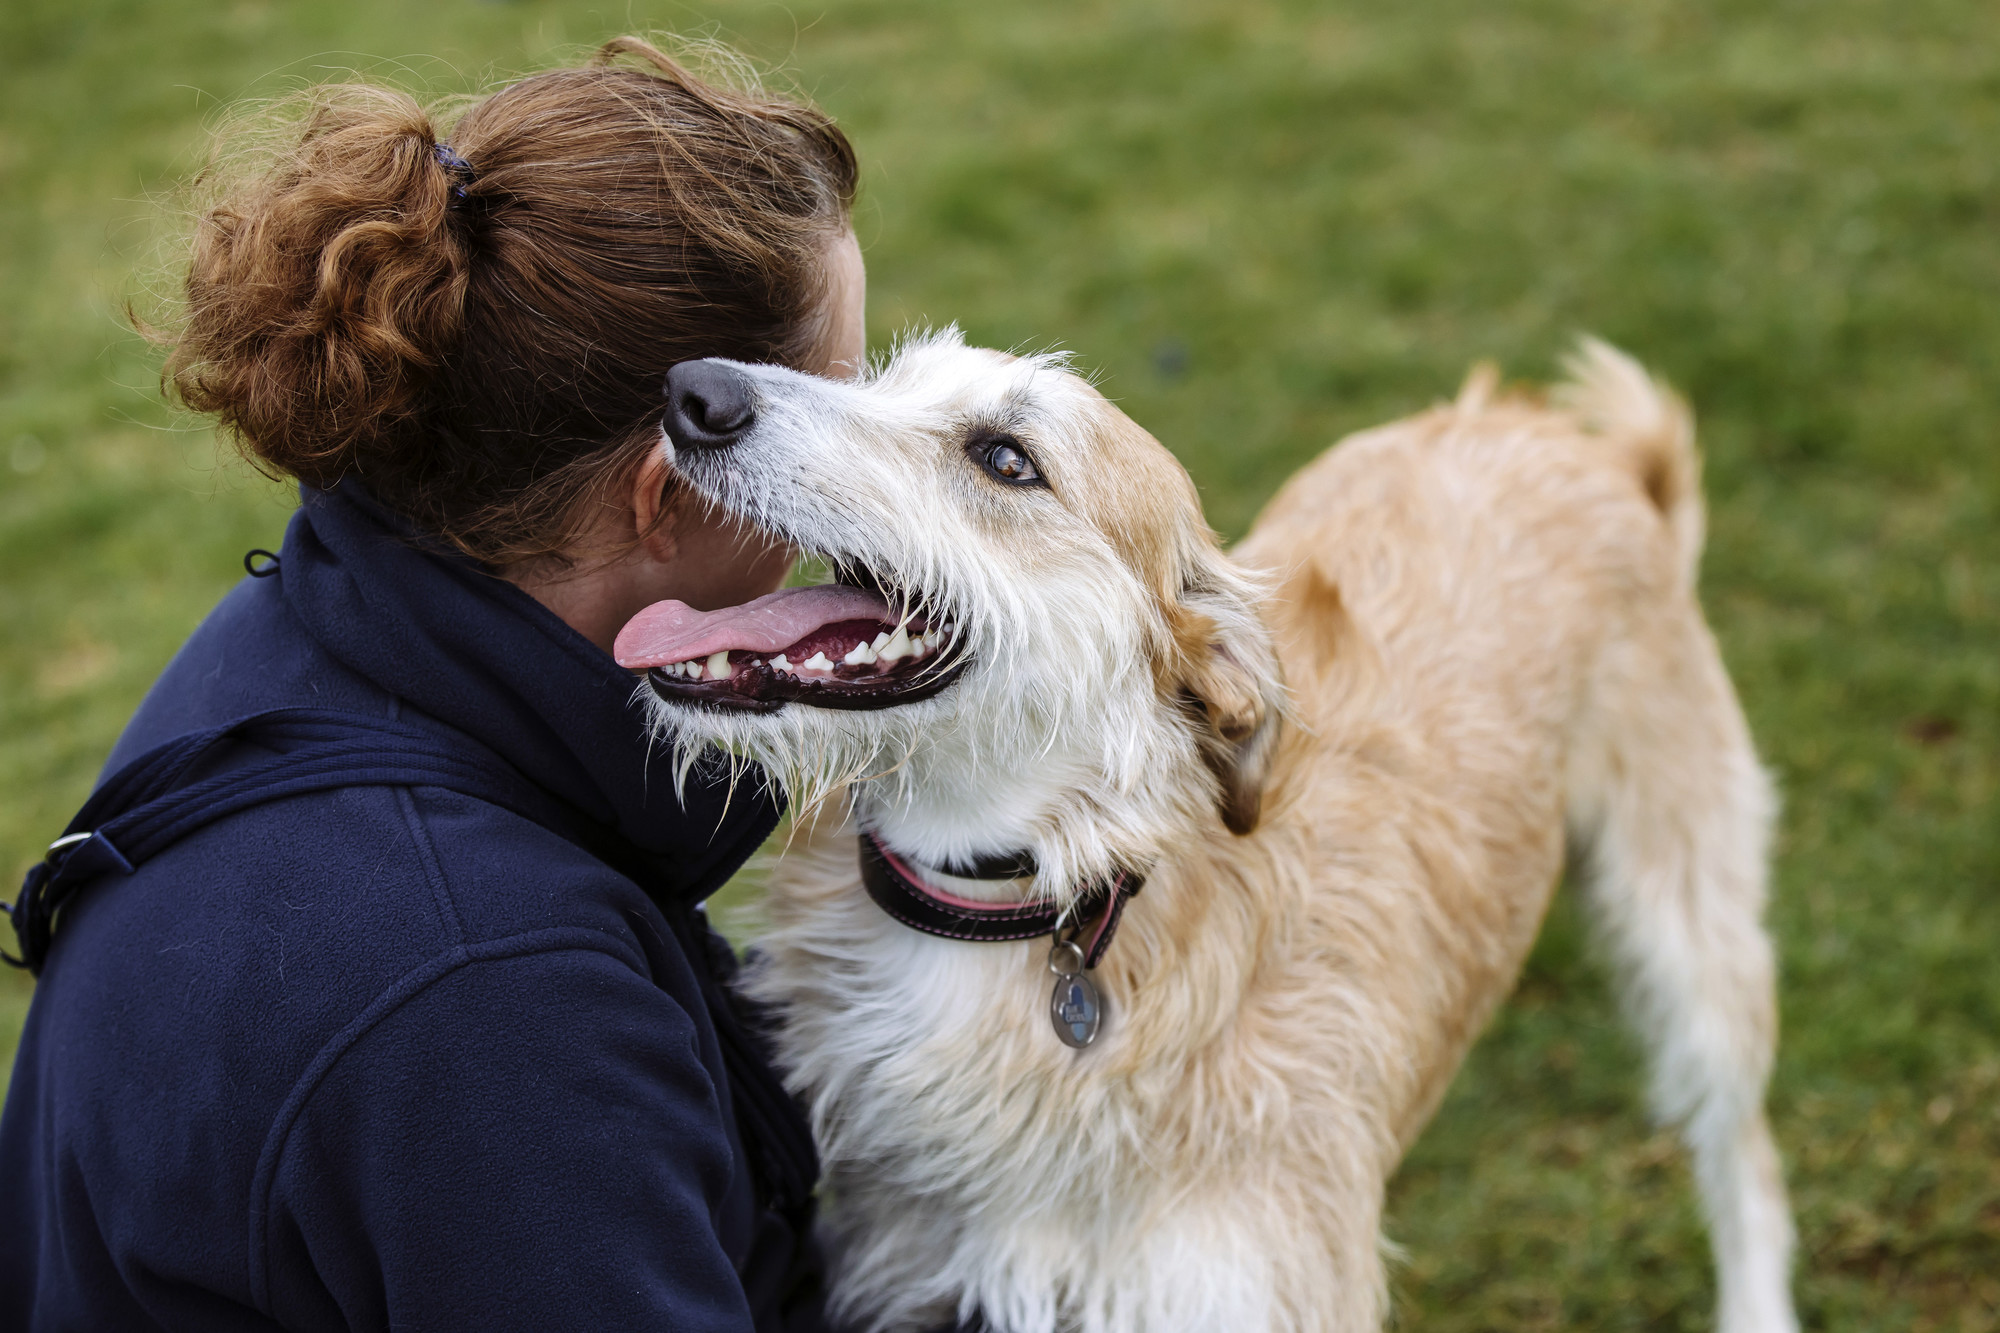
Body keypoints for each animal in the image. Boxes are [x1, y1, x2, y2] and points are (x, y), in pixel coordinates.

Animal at [616, 332, 1808, 1328]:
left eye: (1005, 459)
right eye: (880, 380)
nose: (694, 392)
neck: (1024, 896)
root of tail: (1571, 443)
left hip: (1692, 924)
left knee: (1742, 1159)